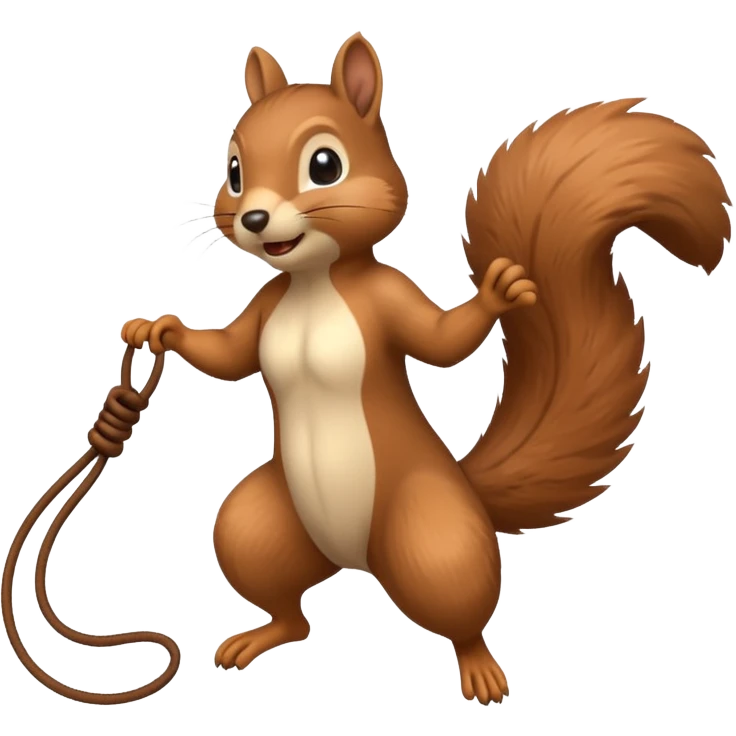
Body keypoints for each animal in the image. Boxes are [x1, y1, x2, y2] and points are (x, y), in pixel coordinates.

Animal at [117, 34, 733, 706]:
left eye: (325, 165)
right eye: (233, 171)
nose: (252, 219)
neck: (315, 280)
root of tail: (354, 562)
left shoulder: (388, 297)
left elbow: (441, 344)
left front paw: (497, 295)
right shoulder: (264, 308)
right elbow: (229, 356)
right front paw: (158, 330)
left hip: (434, 539)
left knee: (458, 610)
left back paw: (480, 669)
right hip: (260, 527)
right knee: (287, 606)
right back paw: (261, 636)